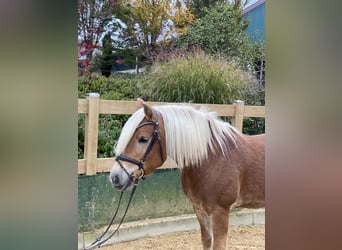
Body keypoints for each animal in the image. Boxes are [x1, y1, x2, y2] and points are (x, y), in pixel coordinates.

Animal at [109, 98, 264, 249]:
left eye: (143, 139)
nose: (115, 177)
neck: (213, 158)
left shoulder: (220, 212)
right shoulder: (199, 210)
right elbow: (206, 240)